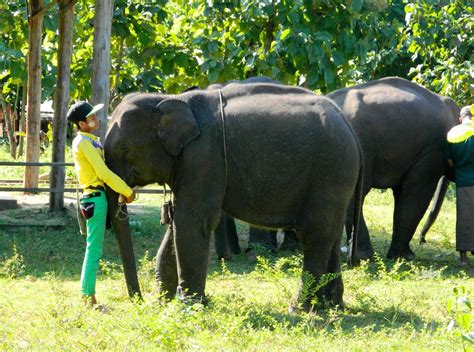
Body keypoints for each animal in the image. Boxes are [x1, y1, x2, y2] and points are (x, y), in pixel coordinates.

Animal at [104, 82, 362, 310]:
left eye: (125, 148)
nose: (138, 300)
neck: (170, 98)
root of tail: (348, 125)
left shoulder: (205, 155)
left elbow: (192, 221)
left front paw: (189, 306)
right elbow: (177, 223)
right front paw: (163, 302)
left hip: (330, 170)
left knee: (314, 234)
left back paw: (299, 308)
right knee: (331, 233)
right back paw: (331, 306)